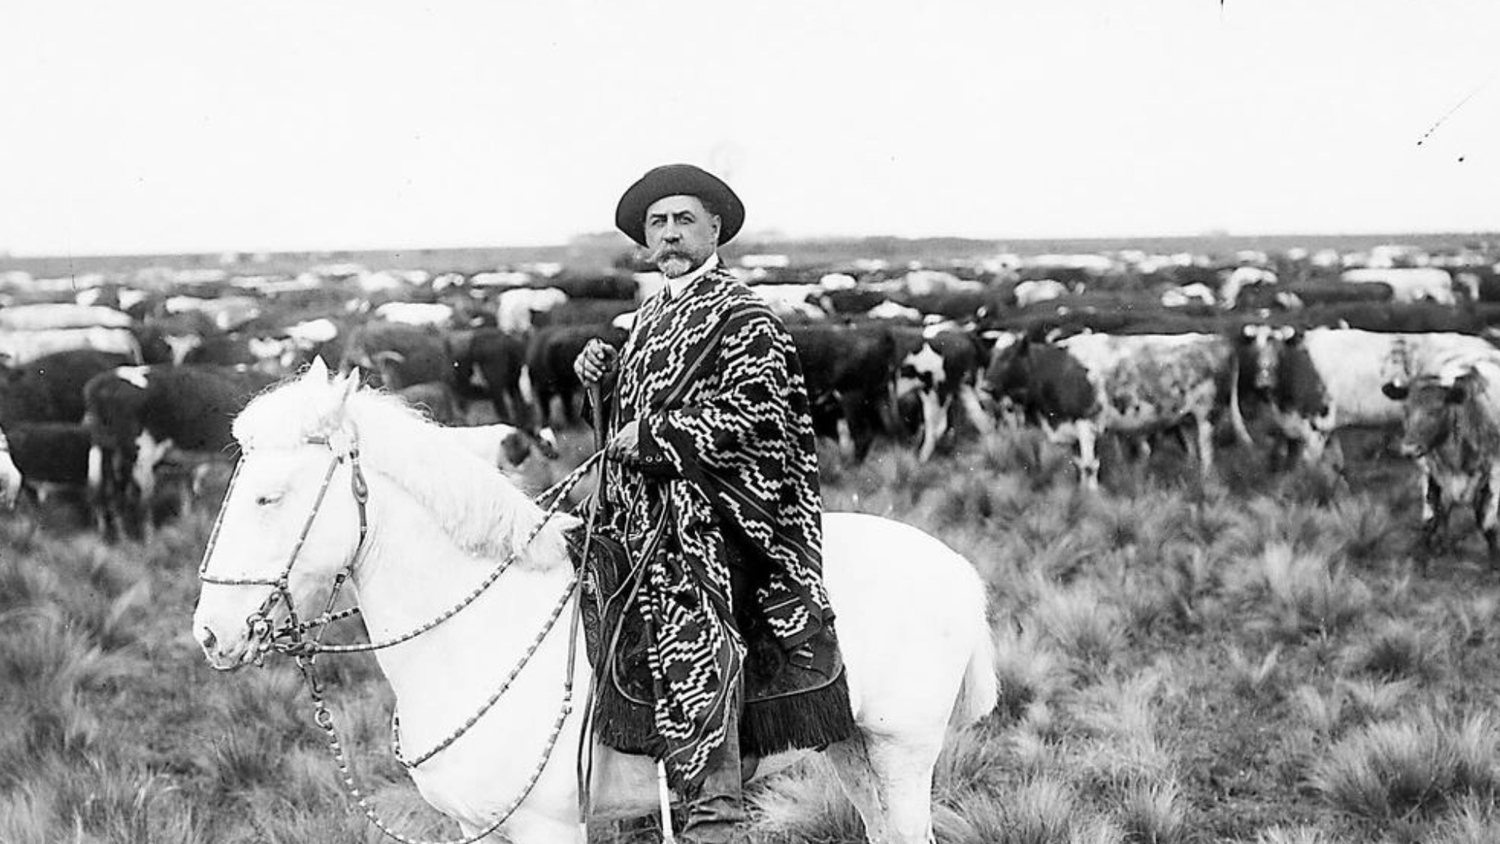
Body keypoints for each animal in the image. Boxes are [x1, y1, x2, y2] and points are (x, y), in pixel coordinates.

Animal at [193, 359, 1002, 844]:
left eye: (268, 496)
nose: (209, 634)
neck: (477, 636)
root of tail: (963, 570)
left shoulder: (547, 828)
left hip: (901, 755)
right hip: (850, 748)